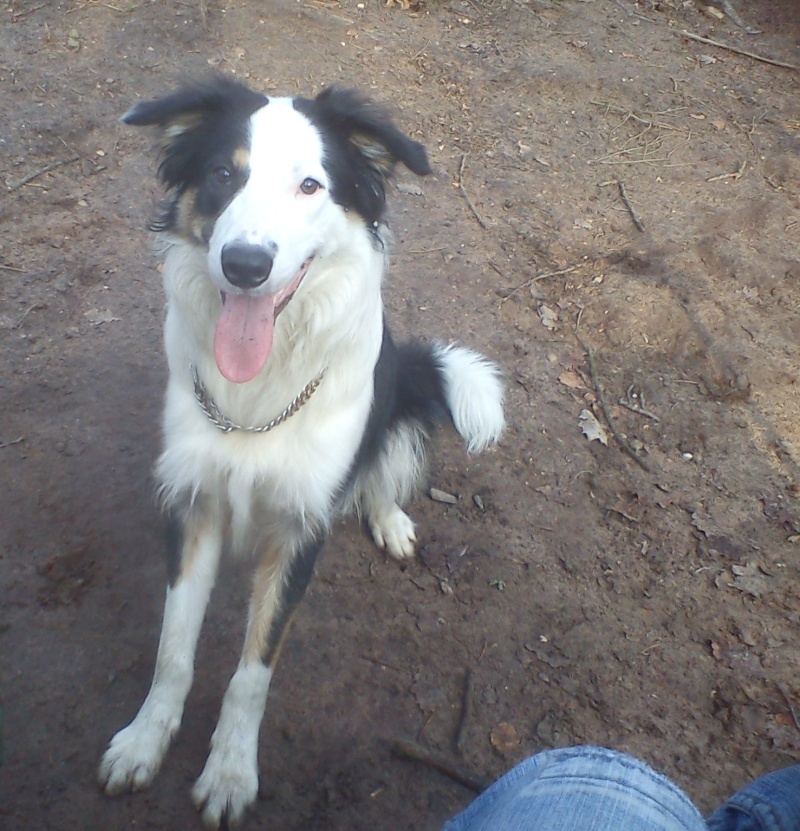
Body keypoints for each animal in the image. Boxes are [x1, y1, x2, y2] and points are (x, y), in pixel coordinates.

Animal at [97, 76, 504, 824]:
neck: (257, 395)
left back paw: (391, 519)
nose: (244, 264)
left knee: (382, 468)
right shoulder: (194, 500)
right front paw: (144, 740)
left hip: (393, 400)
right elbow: (173, 650)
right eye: (223, 175)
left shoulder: (300, 525)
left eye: (311, 185)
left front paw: (230, 772)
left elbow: (252, 671)